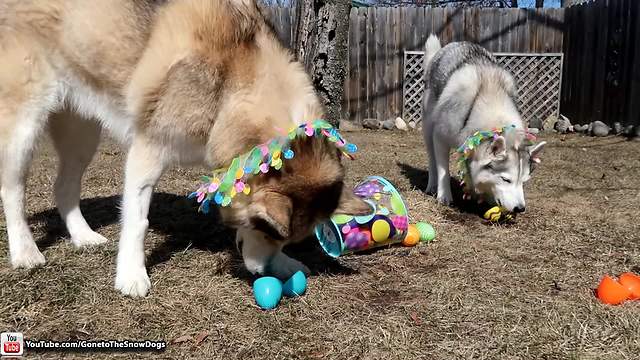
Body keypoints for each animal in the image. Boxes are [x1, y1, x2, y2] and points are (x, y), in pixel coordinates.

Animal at [0, 0, 368, 296]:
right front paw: (131, 276)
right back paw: (25, 252)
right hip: (25, 124)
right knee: (12, 189)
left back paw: (83, 236)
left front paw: (285, 263)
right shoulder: (147, 150)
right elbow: (137, 221)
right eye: (264, 228)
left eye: (283, 239)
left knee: (63, 186)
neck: (232, 83)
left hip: (83, 131)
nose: (261, 272)